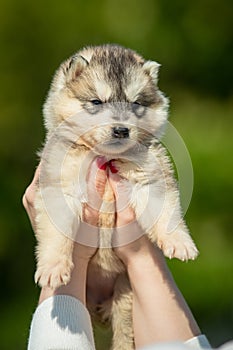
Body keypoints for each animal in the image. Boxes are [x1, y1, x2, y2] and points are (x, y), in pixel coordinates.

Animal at [34, 45, 198, 348]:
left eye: (135, 104)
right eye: (96, 102)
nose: (121, 129)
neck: (106, 156)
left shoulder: (150, 176)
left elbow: (165, 211)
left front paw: (179, 242)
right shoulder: (59, 182)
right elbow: (58, 231)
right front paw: (53, 266)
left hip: (126, 300)